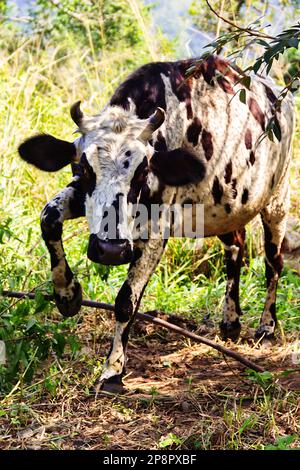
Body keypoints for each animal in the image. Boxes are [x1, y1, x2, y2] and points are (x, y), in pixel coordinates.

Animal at [18, 55, 296, 392]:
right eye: (82, 168)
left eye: (142, 170)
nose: (110, 251)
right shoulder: (79, 196)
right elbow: (48, 218)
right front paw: (67, 294)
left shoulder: (155, 232)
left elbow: (126, 300)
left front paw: (113, 371)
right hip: (224, 209)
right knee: (236, 249)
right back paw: (230, 321)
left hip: (277, 198)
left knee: (273, 262)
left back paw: (267, 327)